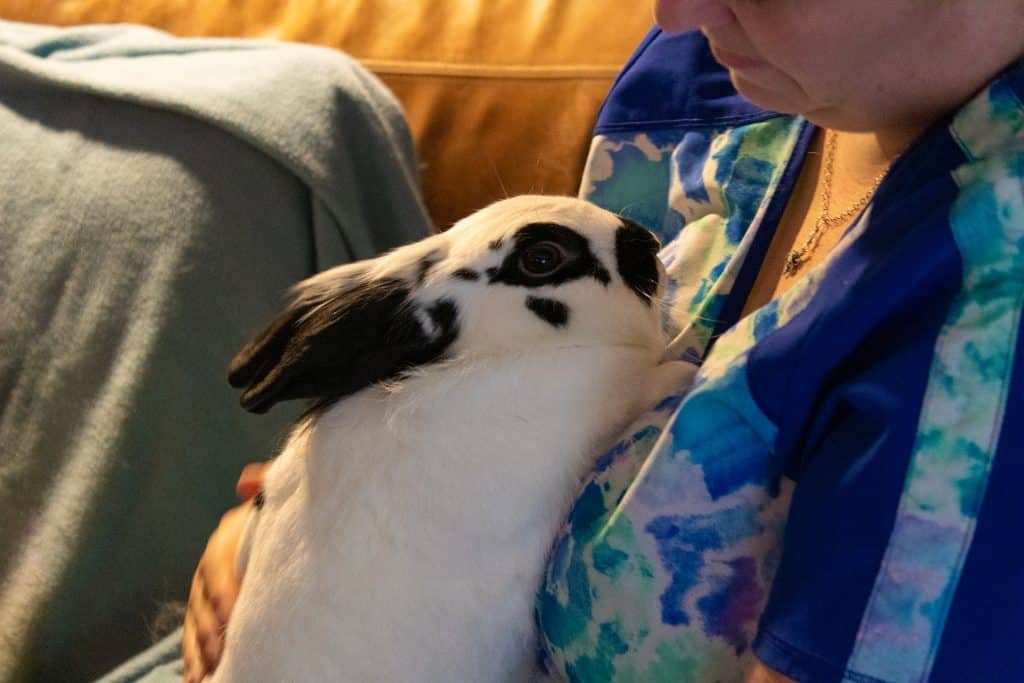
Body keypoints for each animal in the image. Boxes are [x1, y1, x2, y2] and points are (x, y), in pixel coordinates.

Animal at [208, 195, 697, 683]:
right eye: (542, 258)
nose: (647, 242)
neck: (506, 349)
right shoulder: (619, 391)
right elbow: (670, 374)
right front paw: (689, 368)